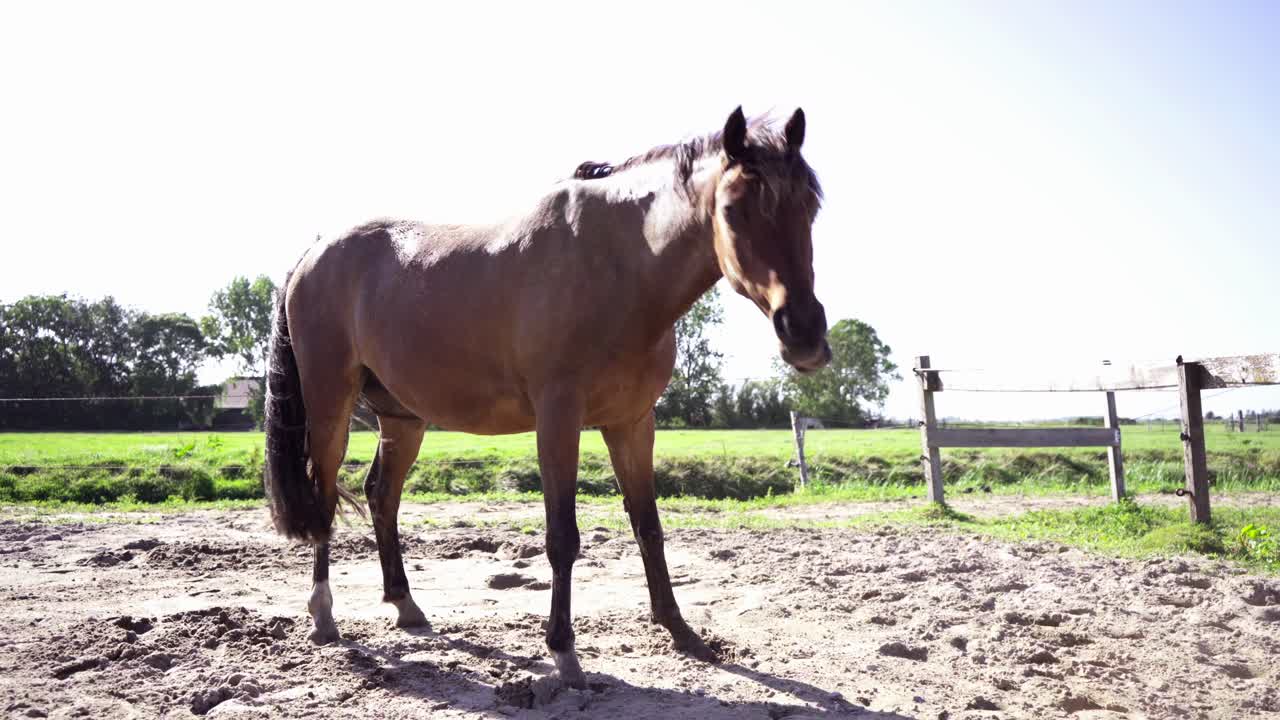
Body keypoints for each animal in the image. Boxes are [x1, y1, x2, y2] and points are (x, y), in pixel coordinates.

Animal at [262, 106, 830, 688]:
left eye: (810, 206)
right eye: (733, 210)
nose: (805, 333)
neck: (618, 267)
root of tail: (313, 254)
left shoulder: (632, 422)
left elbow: (648, 526)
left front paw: (681, 632)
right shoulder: (559, 419)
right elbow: (563, 537)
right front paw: (564, 651)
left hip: (403, 418)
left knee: (382, 495)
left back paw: (405, 604)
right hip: (330, 403)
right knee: (325, 494)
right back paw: (324, 616)